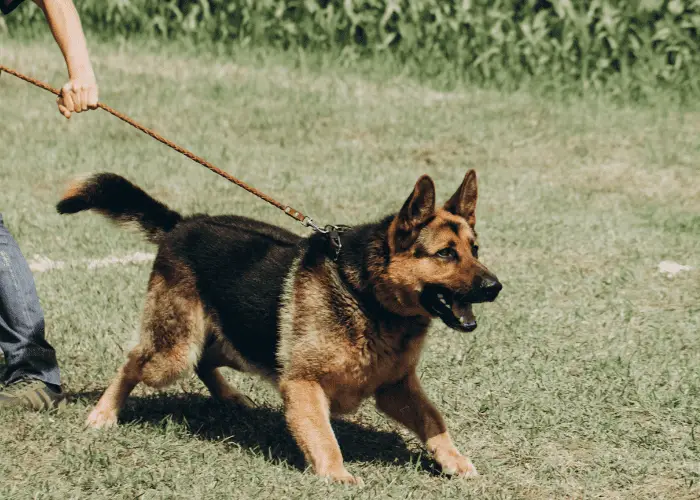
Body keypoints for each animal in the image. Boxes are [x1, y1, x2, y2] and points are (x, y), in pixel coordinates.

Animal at [57, 169, 500, 484]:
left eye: (475, 250)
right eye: (445, 254)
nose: (495, 287)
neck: (366, 294)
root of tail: (184, 223)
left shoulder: (395, 389)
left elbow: (433, 420)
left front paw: (453, 460)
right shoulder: (302, 384)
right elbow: (323, 437)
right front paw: (336, 475)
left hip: (239, 342)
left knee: (205, 362)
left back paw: (230, 397)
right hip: (173, 353)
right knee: (133, 361)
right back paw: (104, 413)